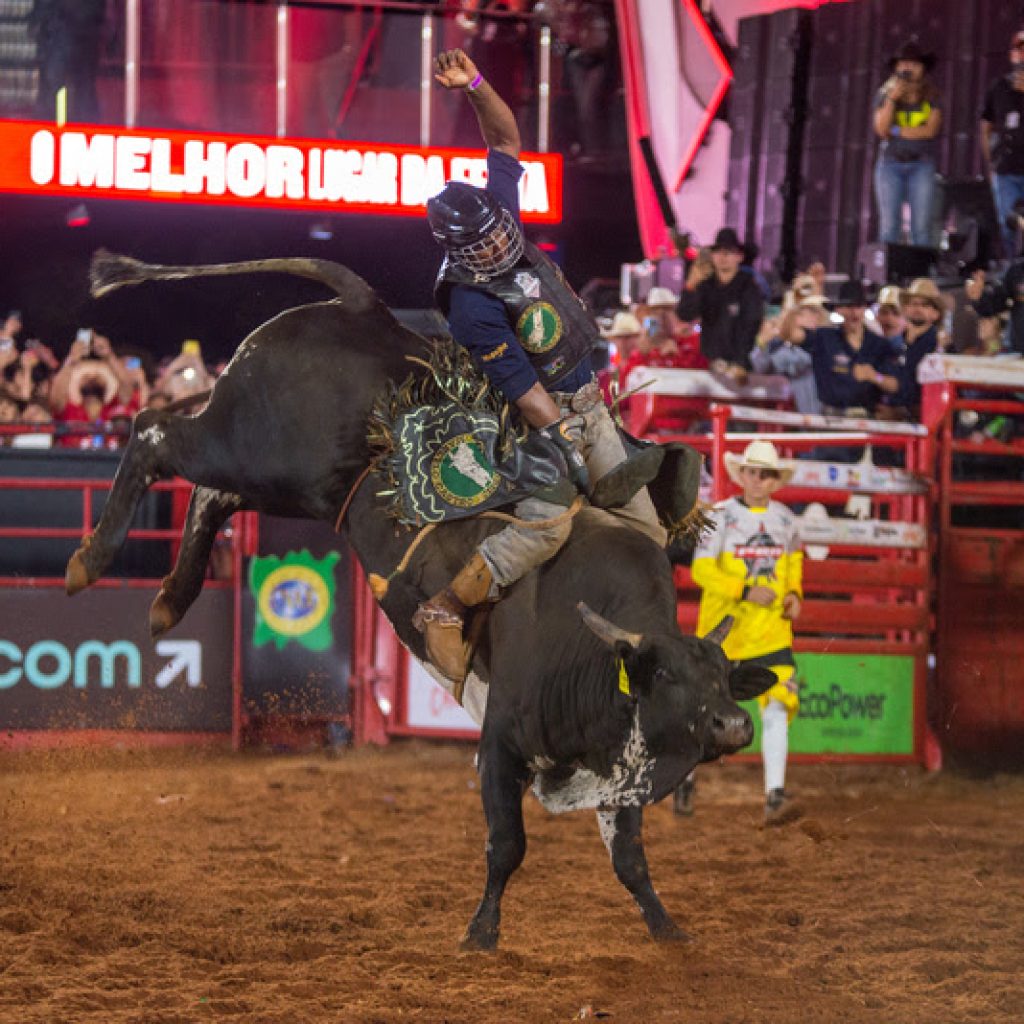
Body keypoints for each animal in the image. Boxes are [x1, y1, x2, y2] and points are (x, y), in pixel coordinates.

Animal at [68, 251, 770, 946]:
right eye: (666, 676)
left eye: (724, 678)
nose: (733, 725)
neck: (595, 654)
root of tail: (363, 307)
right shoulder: (501, 744)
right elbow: (507, 845)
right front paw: (480, 934)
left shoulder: (614, 770)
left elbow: (629, 860)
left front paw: (669, 933)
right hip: (251, 447)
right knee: (154, 432)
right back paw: (88, 562)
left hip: (281, 481)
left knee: (209, 493)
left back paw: (168, 598)